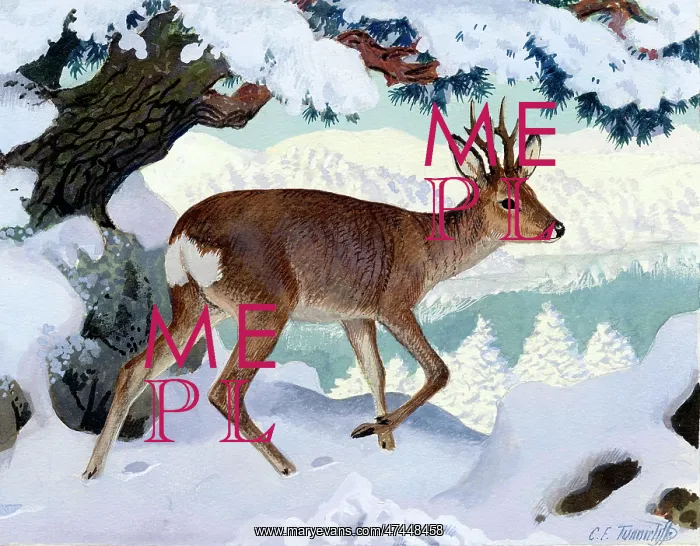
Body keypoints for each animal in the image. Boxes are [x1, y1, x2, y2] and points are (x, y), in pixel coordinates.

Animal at [82, 98, 564, 479]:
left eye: (533, 190)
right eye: (508, 200)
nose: (558, 227)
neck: (427, 250)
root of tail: (182, 234)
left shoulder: (356, 315)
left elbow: (375, 372)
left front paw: (385, 442)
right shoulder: (394, 302)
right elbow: (438, 370)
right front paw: (371, 429)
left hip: (194, 302)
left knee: (135, 369)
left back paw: (92, 471)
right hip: (265, 304)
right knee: (224, 388)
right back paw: (286, 465)